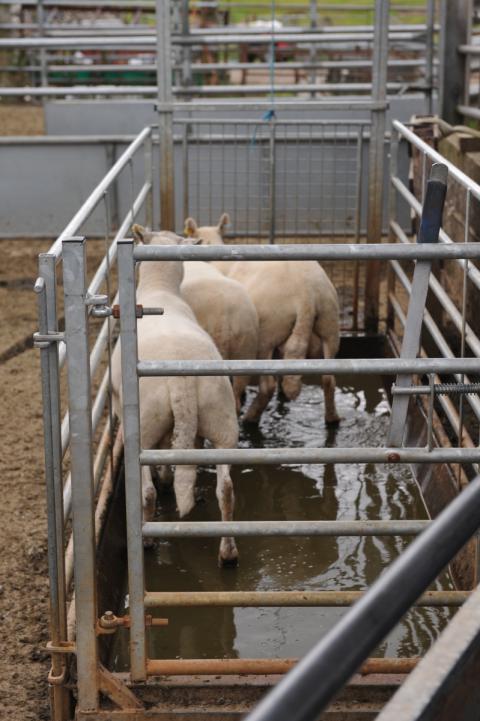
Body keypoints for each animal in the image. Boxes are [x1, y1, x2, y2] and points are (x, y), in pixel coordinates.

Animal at [111, 226, 239, 566]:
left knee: (146, 492)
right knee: (226, 489)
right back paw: (228, 552)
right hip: (221, 418)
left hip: (143, 425)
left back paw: (147, 540)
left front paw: (166, 478)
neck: (160, 292)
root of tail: (182, 377)